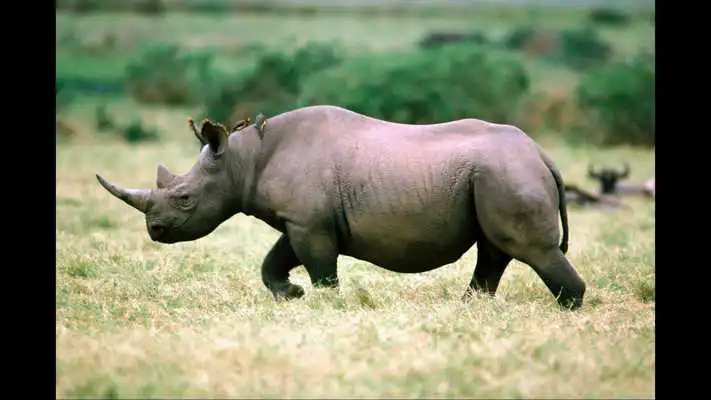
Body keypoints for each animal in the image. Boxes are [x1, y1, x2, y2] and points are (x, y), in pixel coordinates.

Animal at [96, 105, 587, 309]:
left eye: (184, 198)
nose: (155, 232)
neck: (241, 160)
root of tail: (542, 154)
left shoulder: (309, 223)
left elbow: (321, 269)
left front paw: (326, 303)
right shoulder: (302, 219)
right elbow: (273, 260)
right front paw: (290, 295)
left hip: (507, 173)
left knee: (530, 249)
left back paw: (568, 309)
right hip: (498, 174)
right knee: (494, 249)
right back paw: (469, 307)